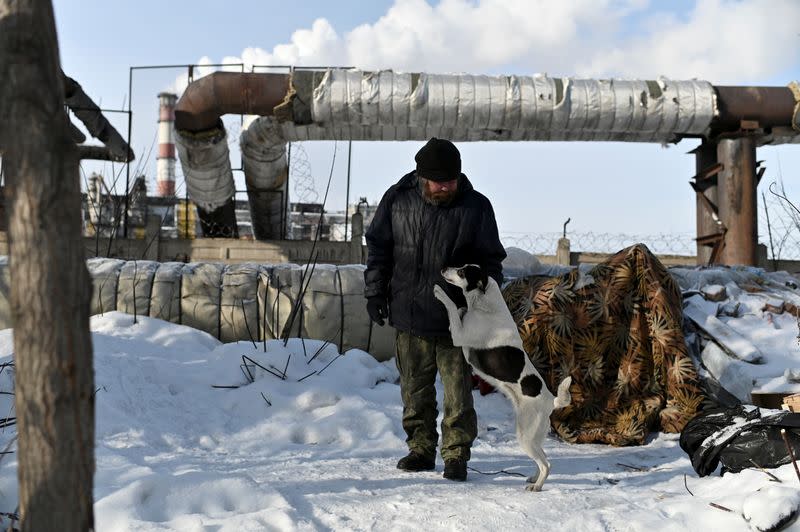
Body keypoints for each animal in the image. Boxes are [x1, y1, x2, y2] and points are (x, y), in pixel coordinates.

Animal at [434, 264, 572, 492]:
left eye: (462, 271)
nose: (444, 268)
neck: (484, 305)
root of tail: (551, 401)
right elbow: (460, 310)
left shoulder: (459, 336)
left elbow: (452, 307)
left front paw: (439, 292)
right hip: (533, 436)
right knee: (545, 460)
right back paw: (534, 479)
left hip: (525, 435)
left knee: (545, 464)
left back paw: (537, 486)